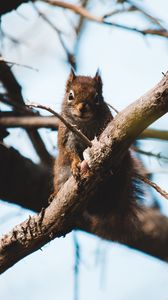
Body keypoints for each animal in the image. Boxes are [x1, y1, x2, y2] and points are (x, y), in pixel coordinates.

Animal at [52, 69, 142, 238]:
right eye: (70, 95)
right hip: (60, 173)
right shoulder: (67, 135)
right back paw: (54, 195)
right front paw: (76, 165)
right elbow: (70, 151)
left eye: (96, 98)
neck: (84, 122)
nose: (82, 108)